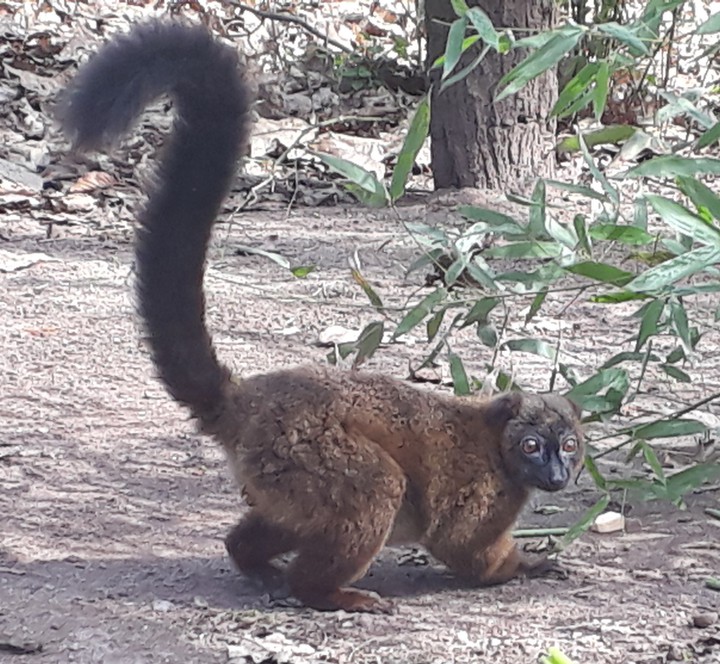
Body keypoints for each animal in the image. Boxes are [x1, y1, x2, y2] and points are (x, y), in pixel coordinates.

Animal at [59, 21, 585, 614]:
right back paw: (325, 591)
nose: (557, 474)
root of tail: (244, 402)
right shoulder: (486, 489)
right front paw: (526, 566)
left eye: (569, 447)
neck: (496, 443)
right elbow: (462, 546)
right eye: (532, 447)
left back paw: (251, 558)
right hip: (309, 456)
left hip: (283, 478)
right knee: (377, 488)